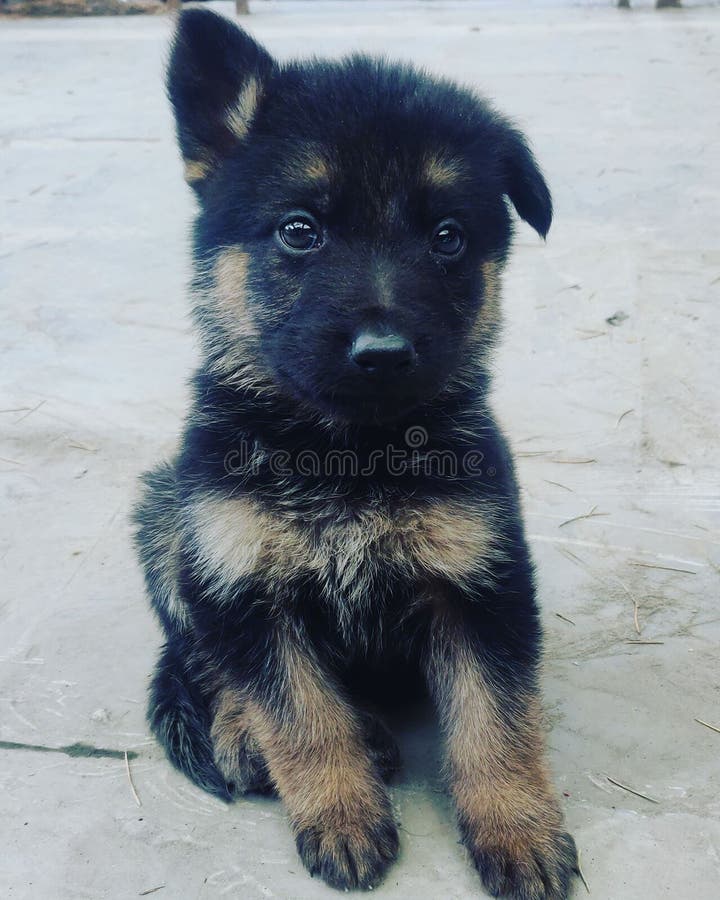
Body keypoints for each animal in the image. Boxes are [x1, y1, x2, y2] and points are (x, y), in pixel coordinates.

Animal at [135, 8, 580, 900]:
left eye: (448, 238)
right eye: (300, 231)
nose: (382, 354)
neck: (346, 453)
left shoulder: (479, 583)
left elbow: (496, 721)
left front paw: (517, 827)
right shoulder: (245, 580)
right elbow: (300, 715)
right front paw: (341, 813)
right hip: (170, 521)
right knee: (203, 658)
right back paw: (247, 731)